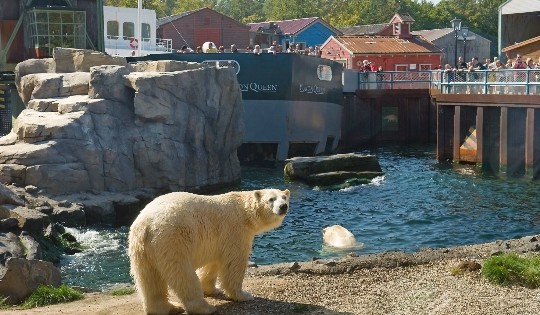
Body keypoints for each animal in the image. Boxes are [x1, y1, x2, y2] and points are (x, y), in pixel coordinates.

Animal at [128, 189, 292, 314]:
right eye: (271, 199)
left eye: (284, 197)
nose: (283, 206)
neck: (244, 212)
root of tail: (146, 225)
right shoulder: (235, 231)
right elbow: (234, 263)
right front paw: (244, 295)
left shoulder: (217, 240)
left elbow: (213, 263)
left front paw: (213, 290)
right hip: (172, 241)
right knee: (183, 274)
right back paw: (204, 308)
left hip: (141, 248)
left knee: (149, 278)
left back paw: (167, 307)